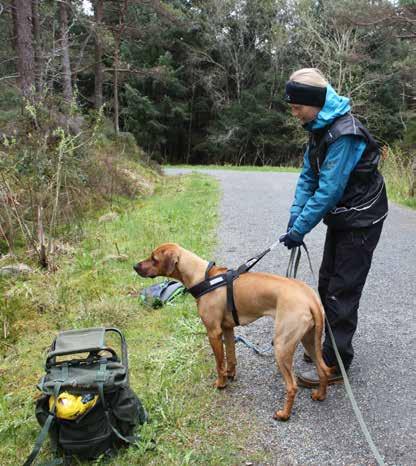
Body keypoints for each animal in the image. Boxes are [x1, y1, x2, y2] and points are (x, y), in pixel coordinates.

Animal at [135, 242, 334, 420]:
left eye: (153, 258)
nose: (134, 266)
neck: (203, 277)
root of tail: (311, 298)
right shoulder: (227, 329)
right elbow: (230, 356)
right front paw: (230, 374)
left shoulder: (213, 332)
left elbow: (219, 363)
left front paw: (221, 383)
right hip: (309, 340)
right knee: (323, 369)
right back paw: (320, 395)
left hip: (282, 345)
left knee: (292, 386)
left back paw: (284, 414)